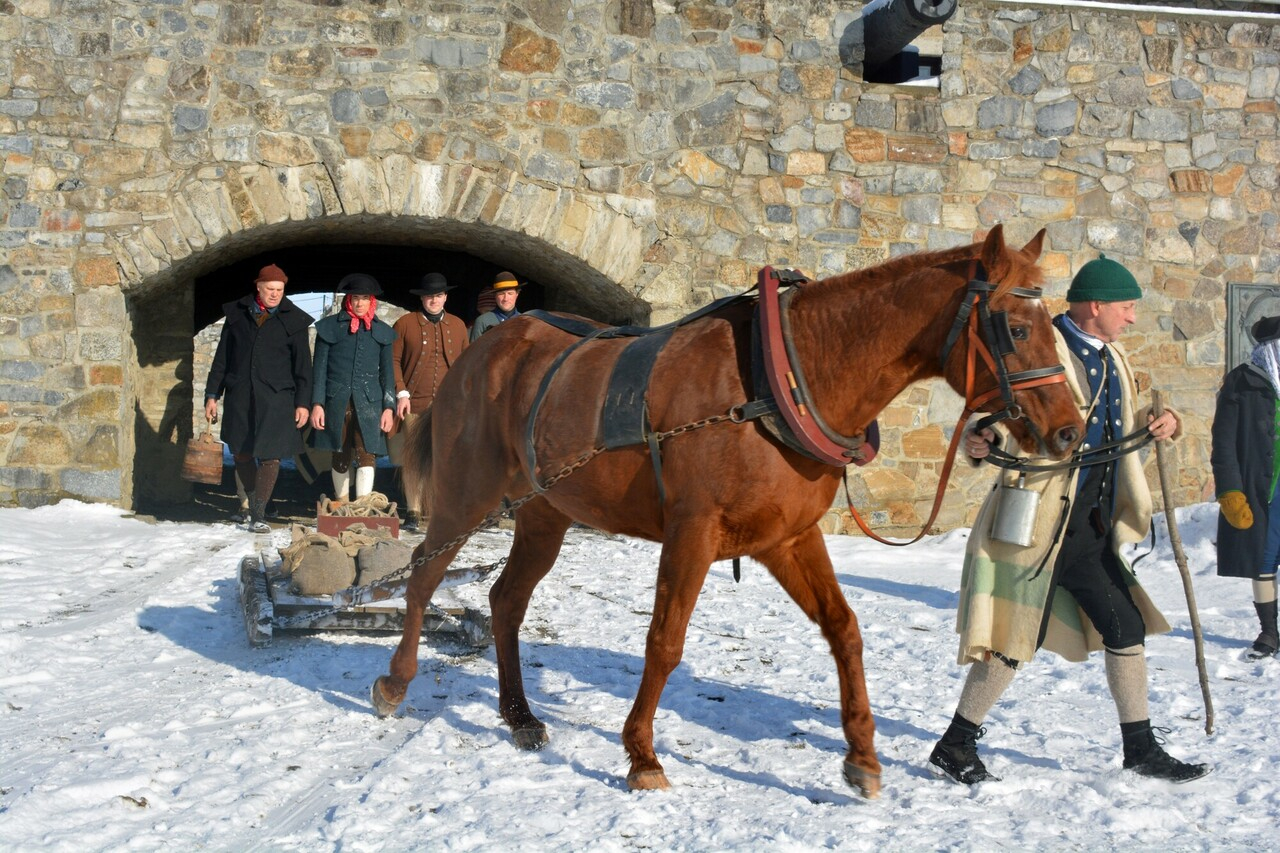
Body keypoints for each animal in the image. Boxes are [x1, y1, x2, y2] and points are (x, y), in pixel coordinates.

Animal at [371, 225, 1084, 798]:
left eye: (1054, 325)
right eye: (1016, 328)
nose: (1070, 433)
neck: (779, 380)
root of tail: (481, 352)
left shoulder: (787, 538)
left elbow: (845, 629)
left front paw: (861, 754)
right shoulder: (692, 532)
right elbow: (664, 642)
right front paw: (642, 755)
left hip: (546, 512)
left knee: (507, 600)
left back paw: (519, 715)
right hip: (467, 496)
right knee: (423, 575)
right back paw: (396, 683)